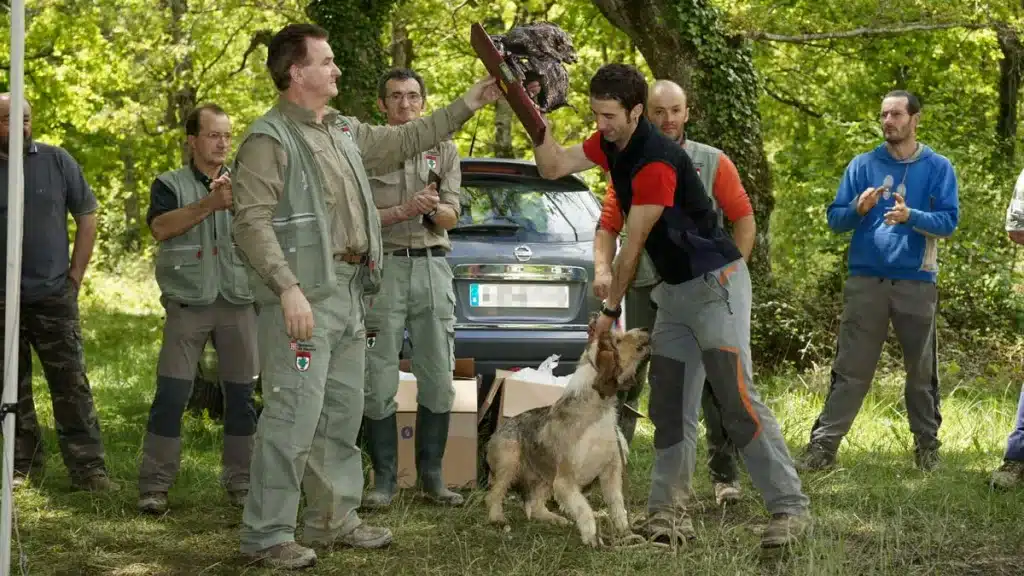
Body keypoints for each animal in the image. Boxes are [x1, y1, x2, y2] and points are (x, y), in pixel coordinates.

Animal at [485, 319, 647, 545]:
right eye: (618, 339)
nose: (646, 329)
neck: (599, 412)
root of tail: (499, 428)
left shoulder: (611, 471)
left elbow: (617, 505)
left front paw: (626, 533)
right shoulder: (565, 481)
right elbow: (583, 508)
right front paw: (591, 536)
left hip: (544, 478)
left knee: (534, 506)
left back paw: (555, 519)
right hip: (509, 464)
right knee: (494, 495)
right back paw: (497, 518)